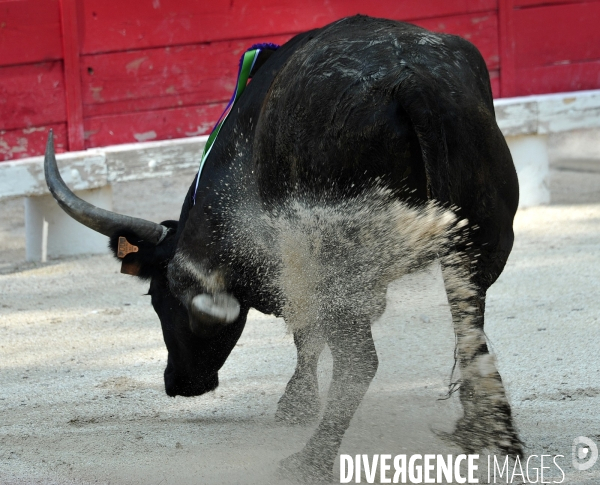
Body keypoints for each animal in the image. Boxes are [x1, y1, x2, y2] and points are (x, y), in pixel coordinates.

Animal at [44, 14, 520, 480]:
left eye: (157, 297)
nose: (177, 383)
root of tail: (410, 79)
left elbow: (303, 332)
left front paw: (295, 404)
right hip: (484, 241)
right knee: (471, 337)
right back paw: (490, 435)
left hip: (339, 259)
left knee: (360, 361)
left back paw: (311, 460)